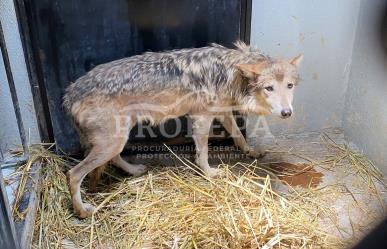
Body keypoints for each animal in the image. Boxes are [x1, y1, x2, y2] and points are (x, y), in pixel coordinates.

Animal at [63, 41, 304, 218]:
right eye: (269, 88)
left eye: (289, 86)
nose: (287, 112)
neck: (229, 72)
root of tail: (69, 94)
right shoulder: (202, 117)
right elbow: (203, 151)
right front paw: (209, 173)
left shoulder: (222, 112)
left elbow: (238, 135)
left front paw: (250, 152)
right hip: (112, 142)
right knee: (73, 175)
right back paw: (82, 211)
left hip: (117, 138)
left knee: (113, 159)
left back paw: (134, 170)